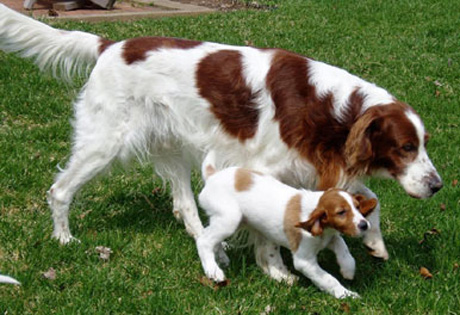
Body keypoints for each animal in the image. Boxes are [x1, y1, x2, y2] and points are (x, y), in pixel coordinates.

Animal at [0, 3, 442, 282]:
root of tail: (109, 45)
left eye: (422, 143)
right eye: (405, 147)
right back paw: (64, 238)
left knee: (185, 206)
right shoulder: (264, 169)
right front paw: (276, 269)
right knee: (60, 190)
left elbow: (370, 198)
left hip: (172, 146)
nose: (438, 186)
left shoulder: (313, 166)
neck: (325, 105)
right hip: (106, 142)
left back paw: (217, 249)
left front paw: (374, 242)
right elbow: (270, 230)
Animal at [198, 160, 378, 298]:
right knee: (203, 240)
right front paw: (346, 294)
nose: (364, 225)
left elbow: (343, 247)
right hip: (231, 219)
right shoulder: (304, 261)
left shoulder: (330, 237)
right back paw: (214, 271)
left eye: (357, 207)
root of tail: (212, 175)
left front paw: (348, 269)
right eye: (341, 212)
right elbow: (328, 279)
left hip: (242, 223)